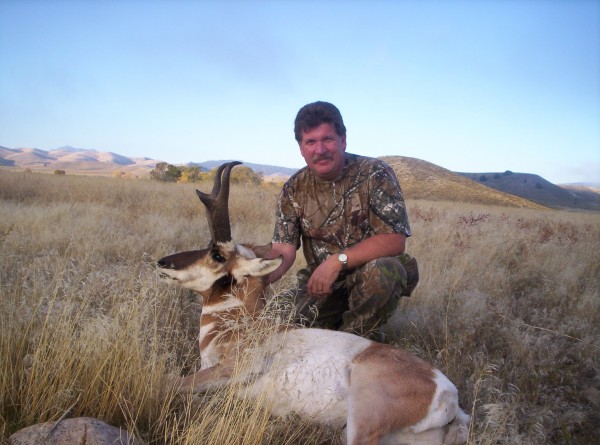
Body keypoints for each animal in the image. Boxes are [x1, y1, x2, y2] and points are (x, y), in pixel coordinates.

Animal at [157, 161, 472, 442]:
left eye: (217, 255)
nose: (162, 263)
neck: (242, 327)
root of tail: (447, 393)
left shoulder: (233, 370)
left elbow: (171, 383)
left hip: (360, 425)